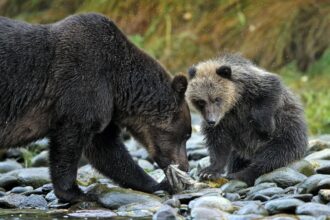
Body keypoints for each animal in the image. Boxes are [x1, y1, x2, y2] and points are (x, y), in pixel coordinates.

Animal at [0, 13, 191, 203]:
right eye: (186, 135)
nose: (185, 166)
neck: (118, 84)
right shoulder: (84, 82)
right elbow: (69, 141)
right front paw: (75, 192)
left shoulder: (107, 106)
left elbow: (107, 150)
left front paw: (158, 184)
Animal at [187, 53, 308, 186]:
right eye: (201, 102)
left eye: (217, 99)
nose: (211, 121)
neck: (234, 103)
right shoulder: (224, 122)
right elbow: (218, 143)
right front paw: (209, 171)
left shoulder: (253, 86)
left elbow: (271, 89)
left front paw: (265, 128)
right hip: (240, 151)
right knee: (236, 159)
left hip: (288, 133)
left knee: (274, 156)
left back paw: (240, 174)